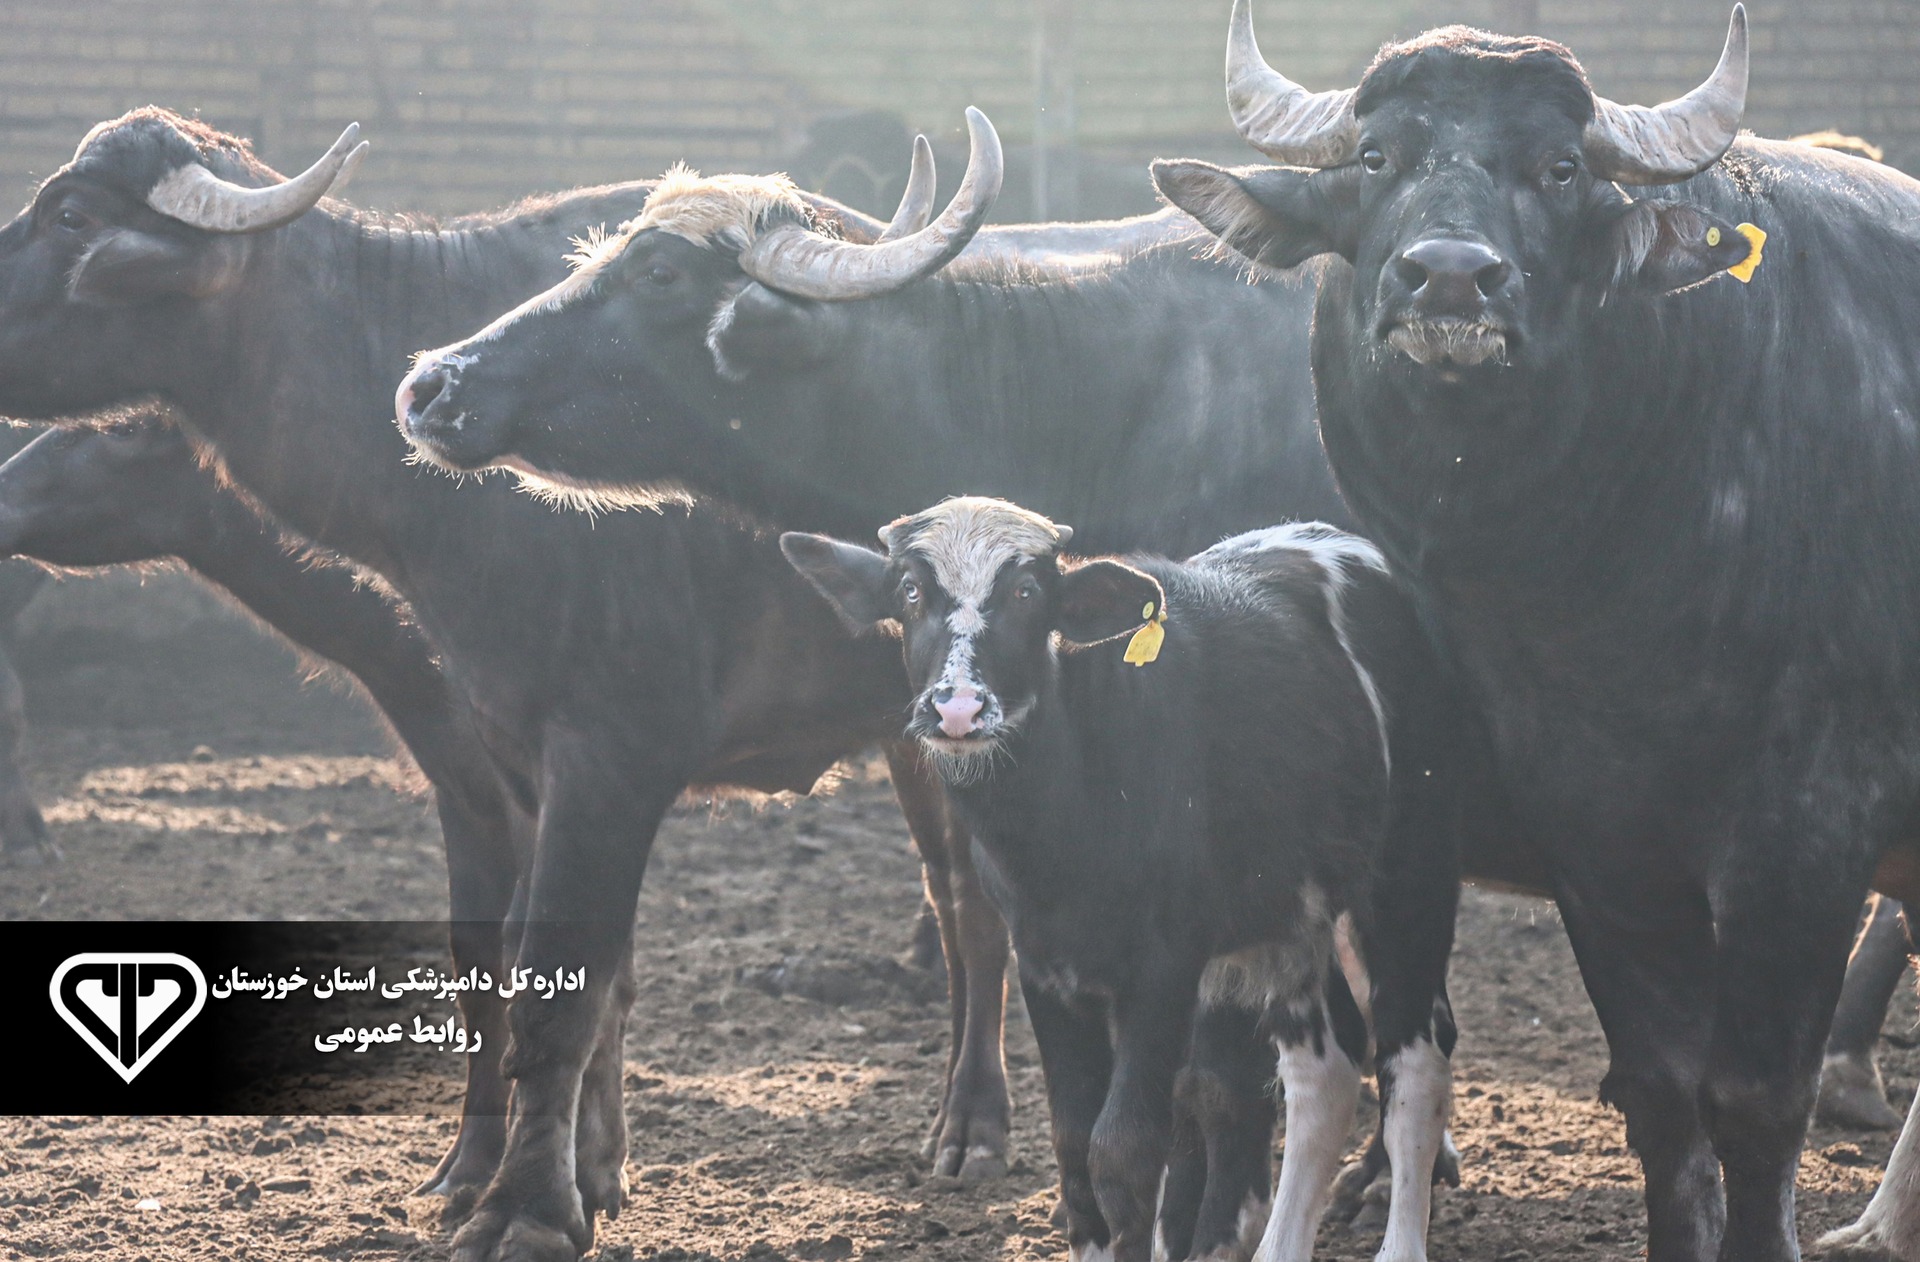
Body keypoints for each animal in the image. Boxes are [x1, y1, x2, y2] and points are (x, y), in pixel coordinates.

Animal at [0, 108, 1032, 1261]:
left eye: (71, 215)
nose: (6, 500)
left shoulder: (605, 757)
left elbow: (562, 980)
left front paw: (532, 1201)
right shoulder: (485, 767)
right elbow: (503, 961)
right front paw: (517, 1168)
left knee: (978, 911)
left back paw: (973, 1130)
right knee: (954, 899)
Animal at [783, 497, 1462, 1262]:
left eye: (1027, 593)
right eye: (909, 591)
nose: (958, 707)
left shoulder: (1163, 972)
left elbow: (1125, 1151)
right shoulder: (1046, 966)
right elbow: (1074, 1145)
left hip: (1407, 883)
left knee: (1415, 1068)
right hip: (1290, 923)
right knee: (1325, 1077)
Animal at [1150, 3, 1920, 1258]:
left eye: (1558, 168)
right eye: (1379, 158)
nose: (1451, 275)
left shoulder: (1805, 843)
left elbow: (1757, 1103)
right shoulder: (1598, 843)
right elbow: (1666, 1097)